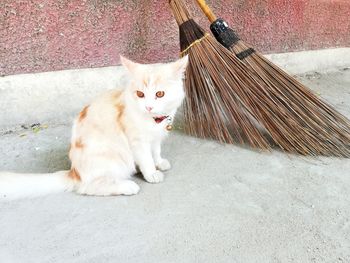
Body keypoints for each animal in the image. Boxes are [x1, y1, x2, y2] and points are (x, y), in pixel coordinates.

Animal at [0, 55, 189, 200]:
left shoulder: (156, 137)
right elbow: (146, 159)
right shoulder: (138, 141)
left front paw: (159, 162)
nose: (148, 107)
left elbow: (155, 151)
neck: (154, 120)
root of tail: (74, 172)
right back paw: (127, 186)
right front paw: (151, 173)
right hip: (113, 158)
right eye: (140, 94)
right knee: (88, 187)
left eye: (160, 94)